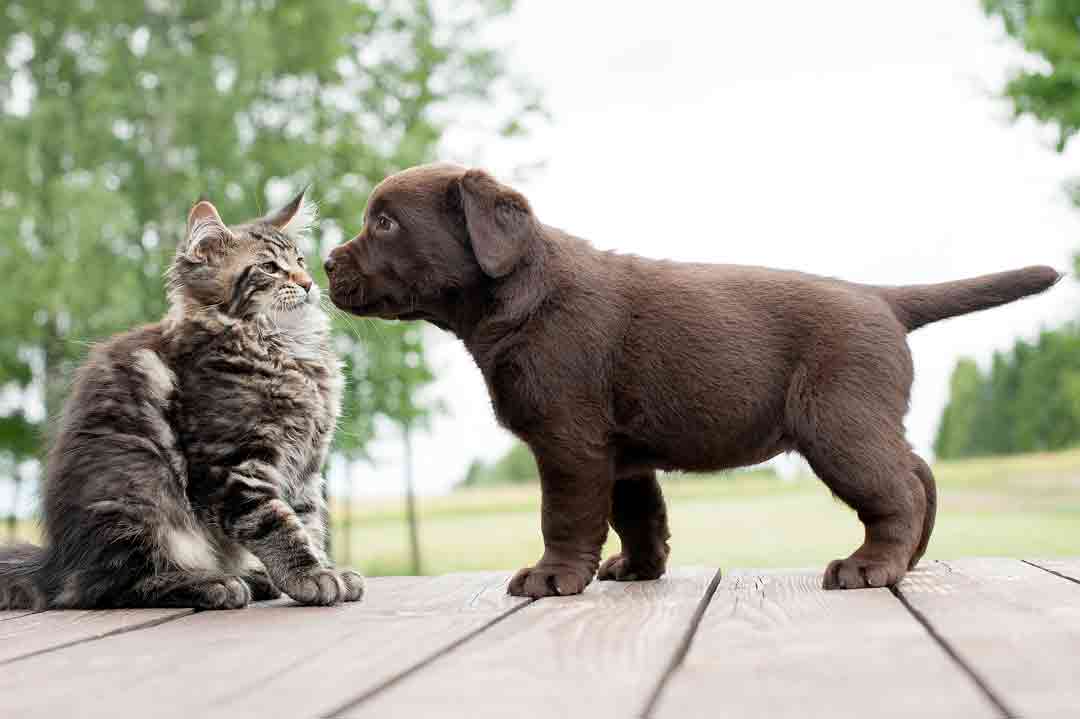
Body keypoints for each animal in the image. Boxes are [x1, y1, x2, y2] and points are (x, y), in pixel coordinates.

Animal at [0, 188, 362, 604]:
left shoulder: (306, 468)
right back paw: (213, 583)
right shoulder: (235, 466)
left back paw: (252, 577)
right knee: (112, 585)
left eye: (300, 261)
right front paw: (310, 575)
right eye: (270, 268)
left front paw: (325, 568)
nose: (307, 283)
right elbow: (276, 523)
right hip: (140, 490)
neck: (283, 347)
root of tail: (57, 564)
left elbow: (309, 520)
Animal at [324, 161, 1058, 591]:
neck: (518, 291)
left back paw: (870, 566)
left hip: (838, 424)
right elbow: (638, 515)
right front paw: (637, 569)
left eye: (384, 222)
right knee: (919, 473)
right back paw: (909, 559)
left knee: (898, 489)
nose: (327, 263)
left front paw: (552, 577)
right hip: (861, 419)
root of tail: (882, 298)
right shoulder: (618, 452)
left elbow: (565, 516)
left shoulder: (568, 441)